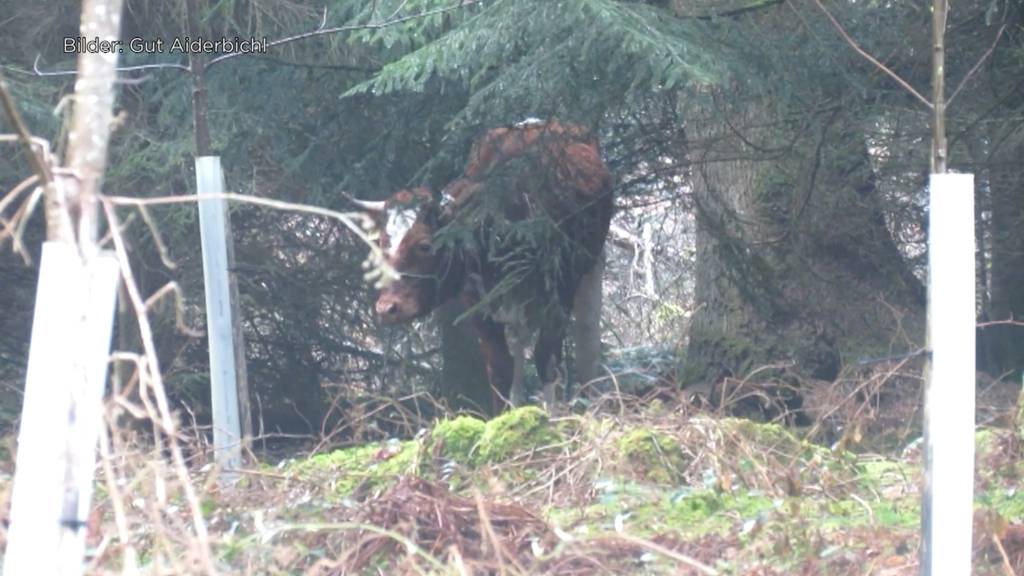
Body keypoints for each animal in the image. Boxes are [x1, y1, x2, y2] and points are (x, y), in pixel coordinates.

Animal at [348, 118, 610, 409]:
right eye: (382, 242)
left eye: (425, 245)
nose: (387, 308)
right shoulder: (477, 305)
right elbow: (500, 369)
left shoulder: (559, 293)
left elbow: (547, 360)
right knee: (518, 348)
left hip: (590, 266)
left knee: (586, 335)